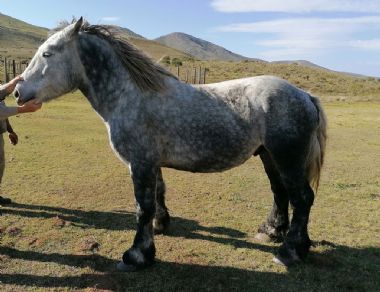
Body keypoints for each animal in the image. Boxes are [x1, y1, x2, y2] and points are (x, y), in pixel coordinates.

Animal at [13, 17, 326, 270]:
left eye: (47, 53)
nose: (17, 92)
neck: (130, 95)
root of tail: (304, 94)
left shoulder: (140, 163)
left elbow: (143, 207)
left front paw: (137, 255)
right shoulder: (151, 163)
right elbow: (158, 195)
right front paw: (160, 226)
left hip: (287, 157)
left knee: (302, 198)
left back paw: (290, 252)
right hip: (269, 156)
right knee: (281, 193)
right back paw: (272, 232)